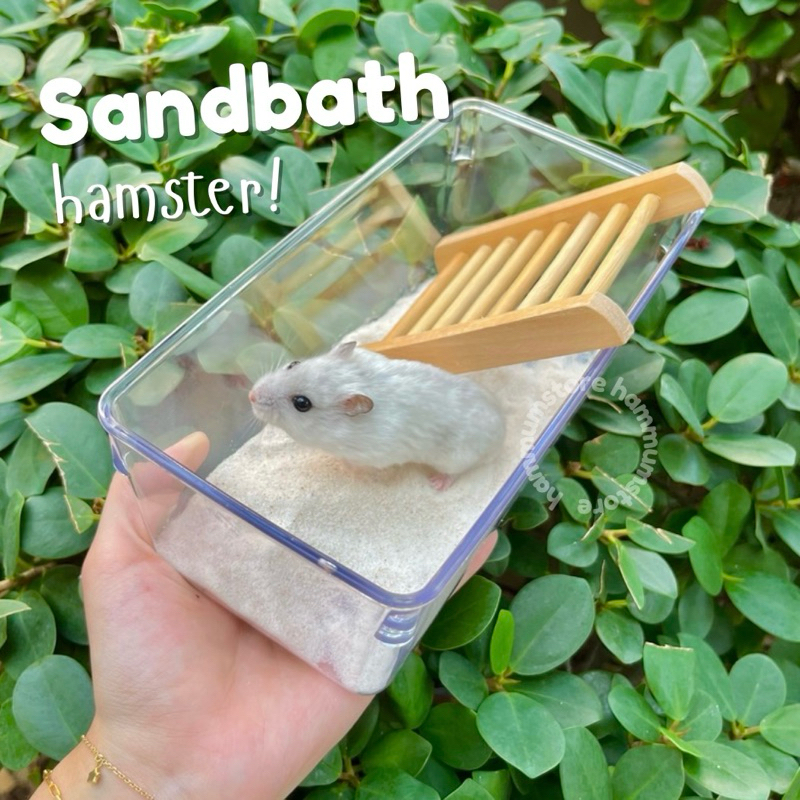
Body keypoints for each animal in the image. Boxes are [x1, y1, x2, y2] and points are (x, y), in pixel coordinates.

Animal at [249, 342, 506, 489]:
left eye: (302, 403)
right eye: (293, 364)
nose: (251, 396)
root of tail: (502, 431)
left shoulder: (372, 455)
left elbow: (353, 463)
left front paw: (341, 465)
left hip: (456, 457)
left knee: (457, 472)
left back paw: (437, 483)